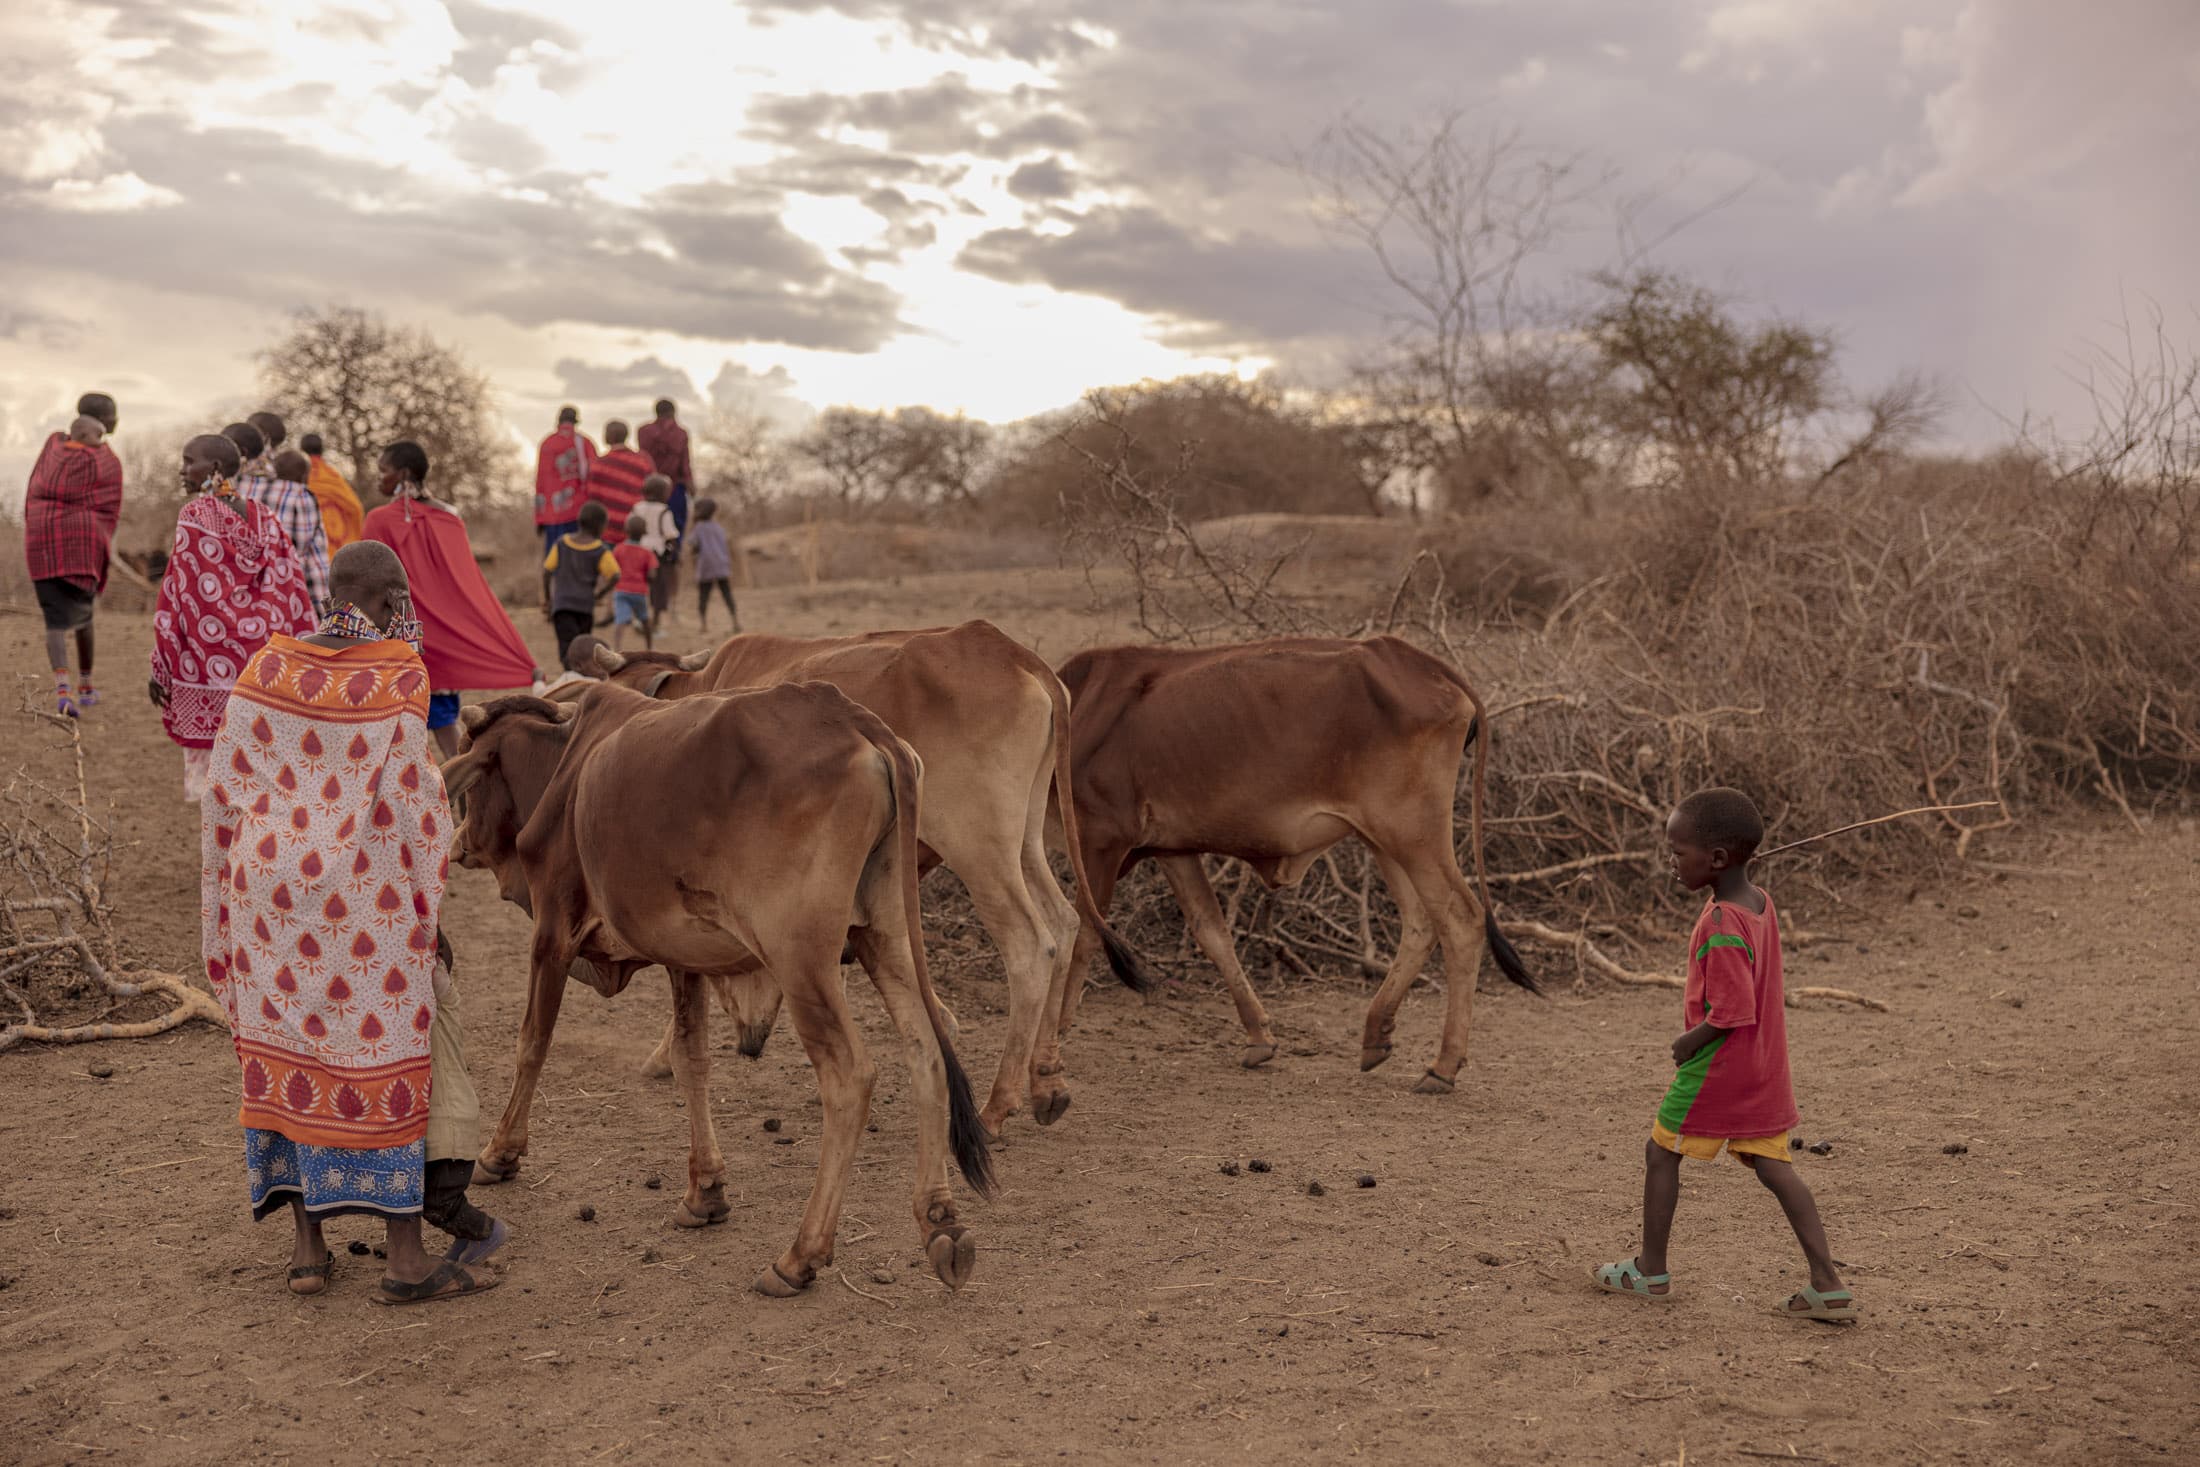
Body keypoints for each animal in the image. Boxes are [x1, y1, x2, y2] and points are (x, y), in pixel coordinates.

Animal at [437, 681, 990, 1293]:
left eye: (471, 782)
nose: (457, 841)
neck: (563, 766)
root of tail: (857, 721)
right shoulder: (684, 959)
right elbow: (691, 1059)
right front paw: (705, 1192)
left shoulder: (552, 932)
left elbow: (532, 1043)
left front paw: (499, 1153)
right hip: (884, 936)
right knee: (927, 1050)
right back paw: (940, 1222)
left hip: (802, 960)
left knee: (850, 1077)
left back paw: (801, 1256)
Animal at [594, 620, 1161, 1134]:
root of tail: (1006, 649)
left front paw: (663, 1055)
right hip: (1022, 841)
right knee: (1065, 921)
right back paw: (1046, 1082)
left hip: (978, 847)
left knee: (1031, 943)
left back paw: (998, 1105)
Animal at [1042, 637, 1531, 1095]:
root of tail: (1413, 657)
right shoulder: (1173, 851)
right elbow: (1212, 932)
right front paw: (1259, 1037)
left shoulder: (1100, 840)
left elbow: (1084, 934)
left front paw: (1057, 1037)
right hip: (1383, 838)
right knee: (1420, 922)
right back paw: (1377, 1034)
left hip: (1412, 835)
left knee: (1461, 919)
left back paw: (1442, 1066)